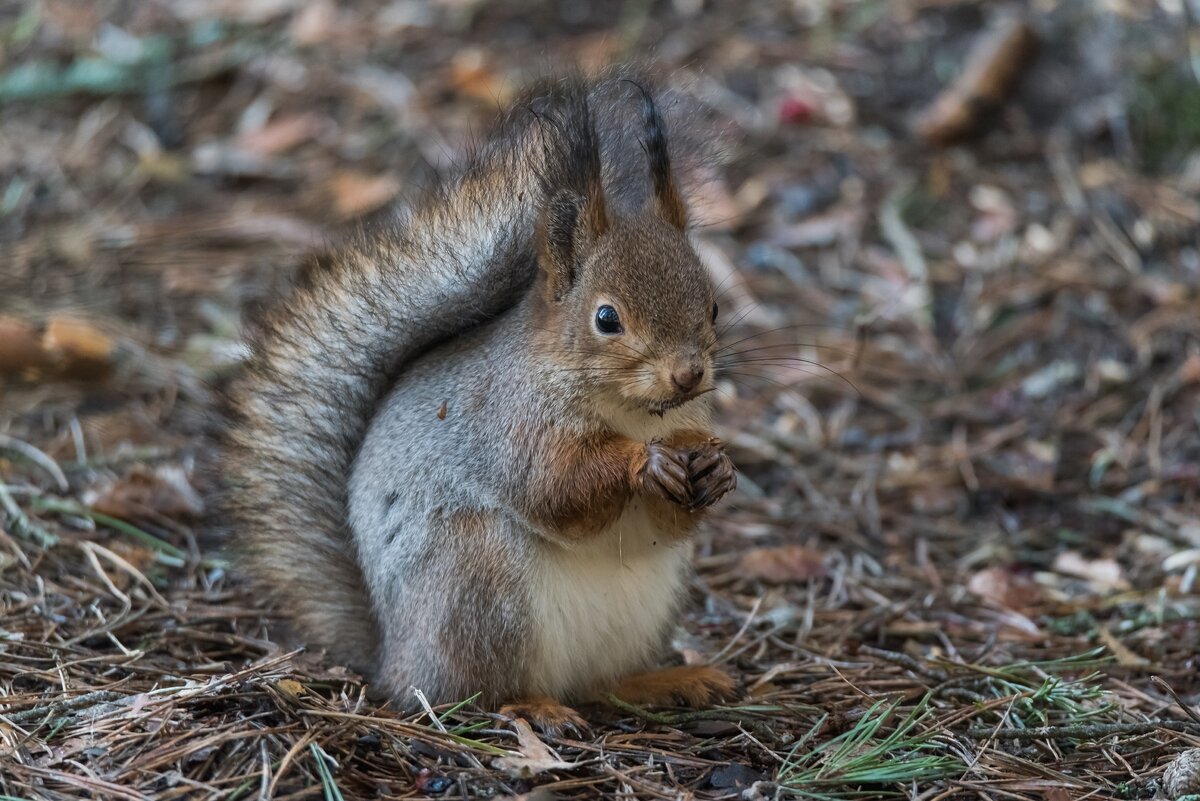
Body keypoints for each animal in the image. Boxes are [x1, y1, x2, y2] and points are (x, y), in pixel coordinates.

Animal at [222, 74, 734, 733]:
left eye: (714, 306)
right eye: (606, 318)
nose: (689, 374)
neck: (631, 412)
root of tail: (394, 659)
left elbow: (667, 523)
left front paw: (714, 464)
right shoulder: (508, 421)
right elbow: (554, 487)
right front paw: (645, 461)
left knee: (600, 686)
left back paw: (666, 681)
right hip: (478, 586)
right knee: (477, 693)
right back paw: (536, 707)